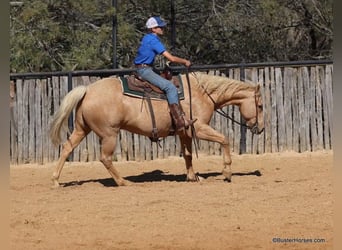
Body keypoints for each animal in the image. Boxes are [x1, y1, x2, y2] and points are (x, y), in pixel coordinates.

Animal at [49, 71, 264, 187]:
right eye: (260, 106)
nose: (261, 129)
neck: (201, 93)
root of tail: (88, 90)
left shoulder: (184, 131)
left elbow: (188, 155)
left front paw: (193, 177)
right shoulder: (199, 128)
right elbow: (224, 139)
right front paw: (227, 172)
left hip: (81, 129)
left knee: (67, 148)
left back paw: (55, 180)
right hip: (110, 134)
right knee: (105, 158)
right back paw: (123, 182)